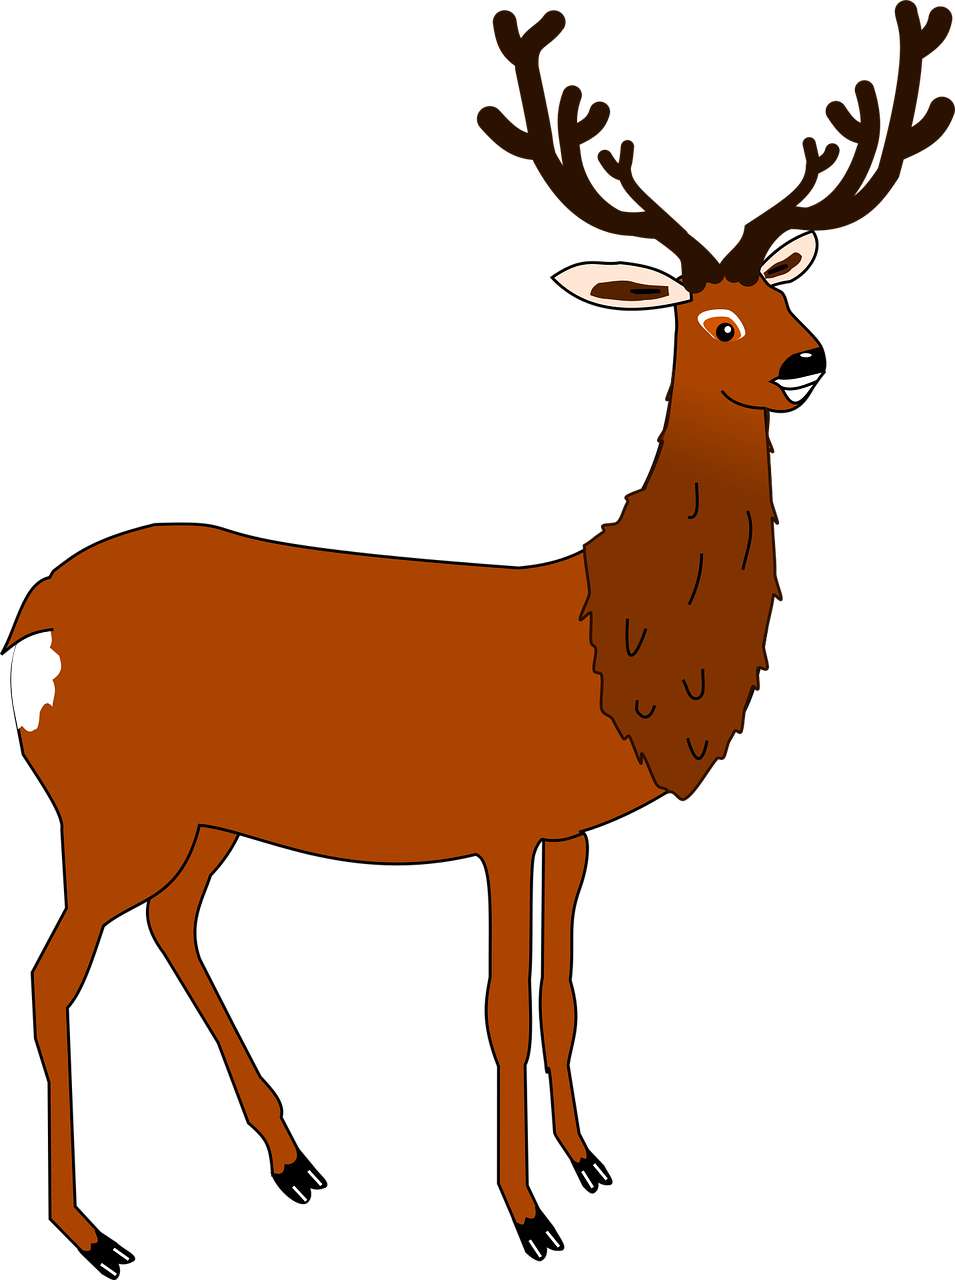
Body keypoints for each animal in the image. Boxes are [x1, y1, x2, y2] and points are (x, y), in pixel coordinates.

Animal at [9, 2, 952, 1255]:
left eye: (788, 297)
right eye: (714, 321)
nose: (805, 362)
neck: (606, 636)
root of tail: (27, 632)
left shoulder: (572, 828)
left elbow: (560, 994)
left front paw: (587, 1160)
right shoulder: (499, 824)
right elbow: (502, 1006)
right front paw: (523, 1212)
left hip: (200, 815)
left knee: (173, 925)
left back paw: (294, 1159)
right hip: (112, 804)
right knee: (55, 969)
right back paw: (91, 1228)